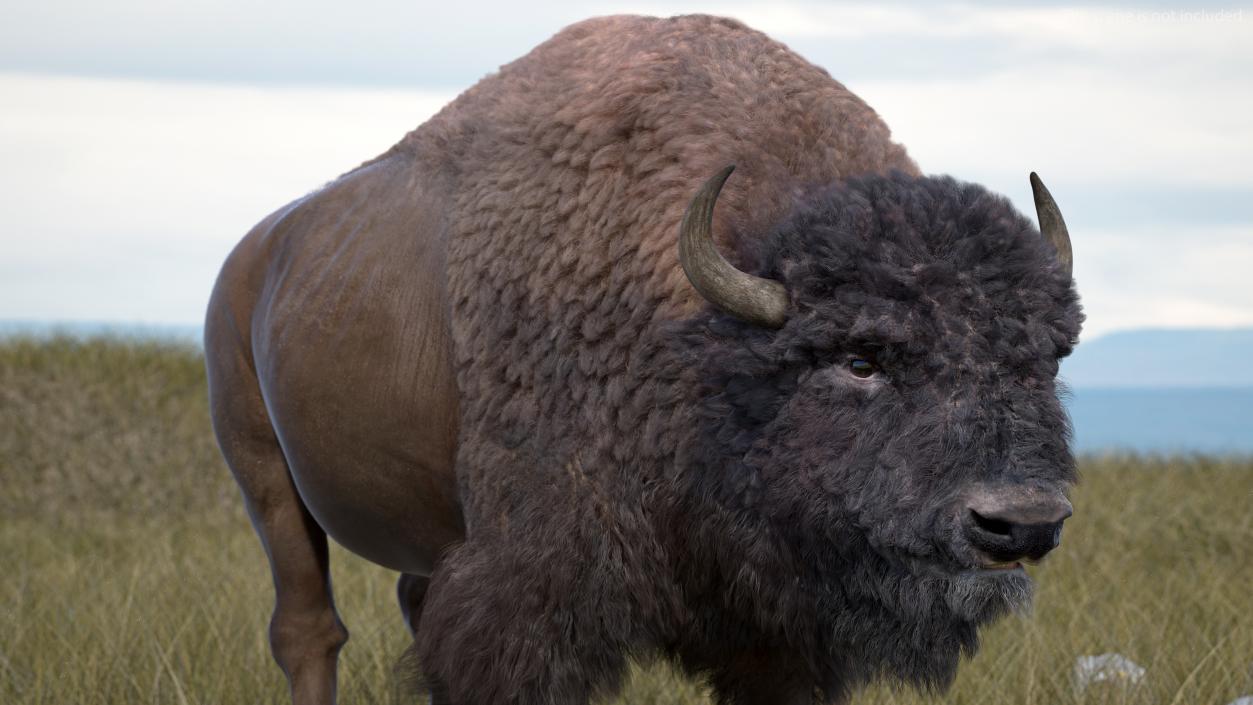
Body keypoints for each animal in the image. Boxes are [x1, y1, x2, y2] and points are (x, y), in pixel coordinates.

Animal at [202, 13, 1077, 705]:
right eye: (859, 359)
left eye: (1043, 356)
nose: (1019, 520)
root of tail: (251, 262)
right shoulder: (528, 599)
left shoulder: (779, 637)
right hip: (262, 475)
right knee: (308, 628)